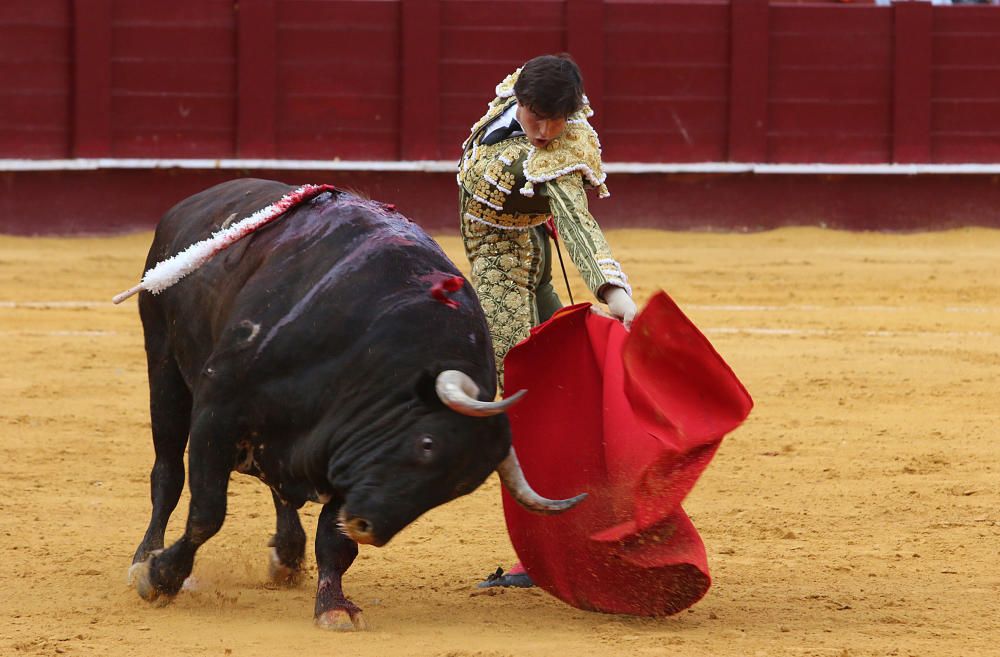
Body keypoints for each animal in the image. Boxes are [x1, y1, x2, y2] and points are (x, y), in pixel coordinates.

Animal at [126, 177, 584, 628]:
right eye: (427, 444)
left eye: (458, 489)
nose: (368, 528)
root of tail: (191, 203)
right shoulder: (218, 411)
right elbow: (207, 513)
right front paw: (161, 577)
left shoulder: (347, 453)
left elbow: (335, 542)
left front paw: (333, 606)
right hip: (163, 365)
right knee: (167, 471)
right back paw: (142, 557)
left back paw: (288, 556)